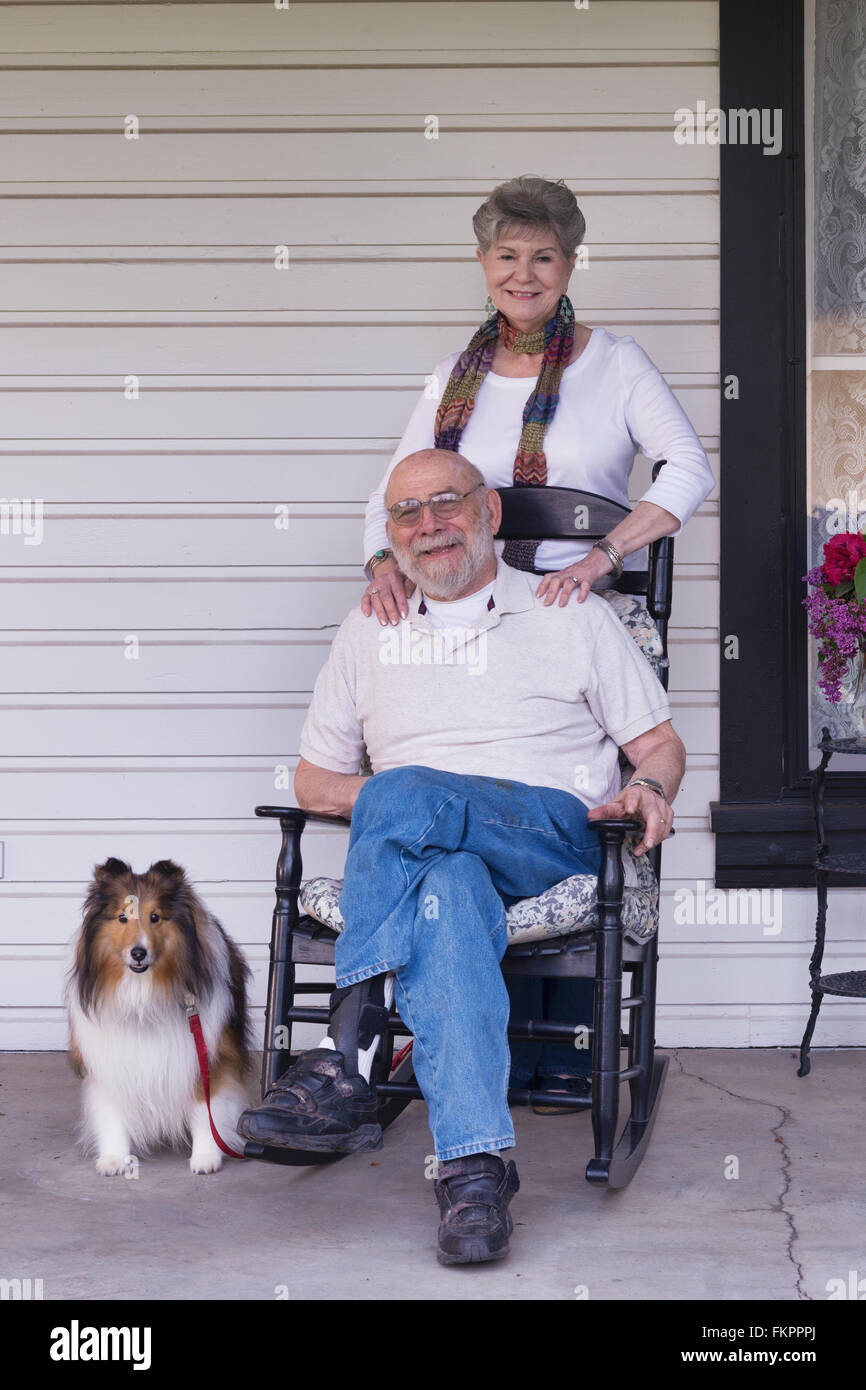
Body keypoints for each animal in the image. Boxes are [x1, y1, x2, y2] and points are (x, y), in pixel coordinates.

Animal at [68, 856, 252, 1173]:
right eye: (122, 917)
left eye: (155, 917)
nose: (138, 953)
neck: (142, 994)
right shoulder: (108, 1059)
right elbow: (112, 1110)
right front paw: (114, 1157)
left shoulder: (207, 1055)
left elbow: (205, 1108)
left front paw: (206, 1156)